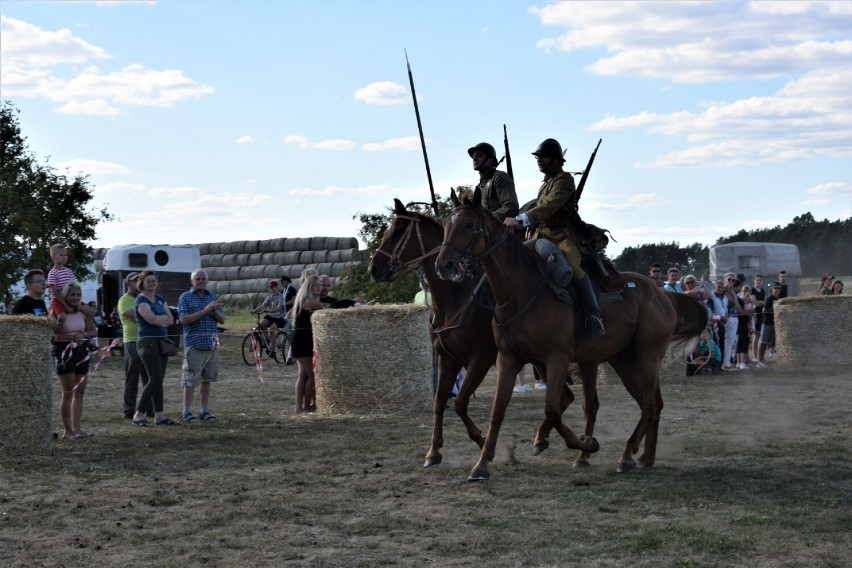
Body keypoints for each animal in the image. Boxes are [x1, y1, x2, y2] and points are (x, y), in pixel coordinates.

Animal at [370, 200, 576, 466]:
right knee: (564, 398)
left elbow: (459, 402)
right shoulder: (447, 359)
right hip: (541, 361)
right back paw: (544, 438)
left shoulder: (480, 359)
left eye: (396, 231)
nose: (374, 268)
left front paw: (483, 442)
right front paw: (434, 451)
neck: (456, 299)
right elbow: (439, 402)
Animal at [436, 189, 708, 482]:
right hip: (623, 360)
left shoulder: (557, 359)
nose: (444, 265)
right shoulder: (508, 358)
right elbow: (498, 410)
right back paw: (645, 457)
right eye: (446, 225)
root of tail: (662, 294)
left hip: (648, 356)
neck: (521, 290)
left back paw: (627, 454)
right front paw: (482, 464)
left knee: (647, 403)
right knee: (653, 403)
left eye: (469, 225)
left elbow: (553, 410)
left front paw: (584, 444)